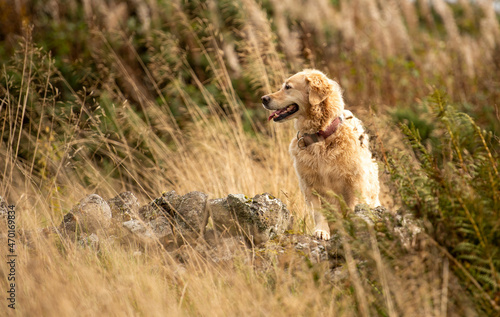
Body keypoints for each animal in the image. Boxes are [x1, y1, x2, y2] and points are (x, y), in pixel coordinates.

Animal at [262, 68, 378, 238]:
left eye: (288, 87)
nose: (263, 98)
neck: (321, 136)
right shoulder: (310, 185)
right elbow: (318, 213)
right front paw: (322, 231)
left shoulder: (354, 184)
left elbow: (352, 209)